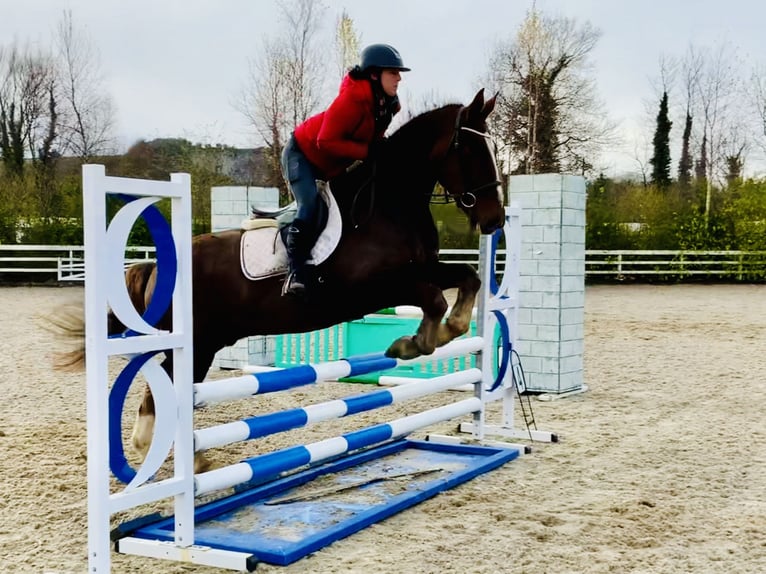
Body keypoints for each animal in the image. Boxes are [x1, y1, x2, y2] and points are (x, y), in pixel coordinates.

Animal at [57, 86, 508, 472]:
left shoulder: (422, 268)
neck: (388, 206)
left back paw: (181, 457)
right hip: (194, 346)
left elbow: (468, 278)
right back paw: (169, 454)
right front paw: (414, 343)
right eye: (470, 148)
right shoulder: (376, 286)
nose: (495, 220)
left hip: (203, 345)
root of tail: (156, 267)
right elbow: (433, 299)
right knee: (162, 395)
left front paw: (446, 330)